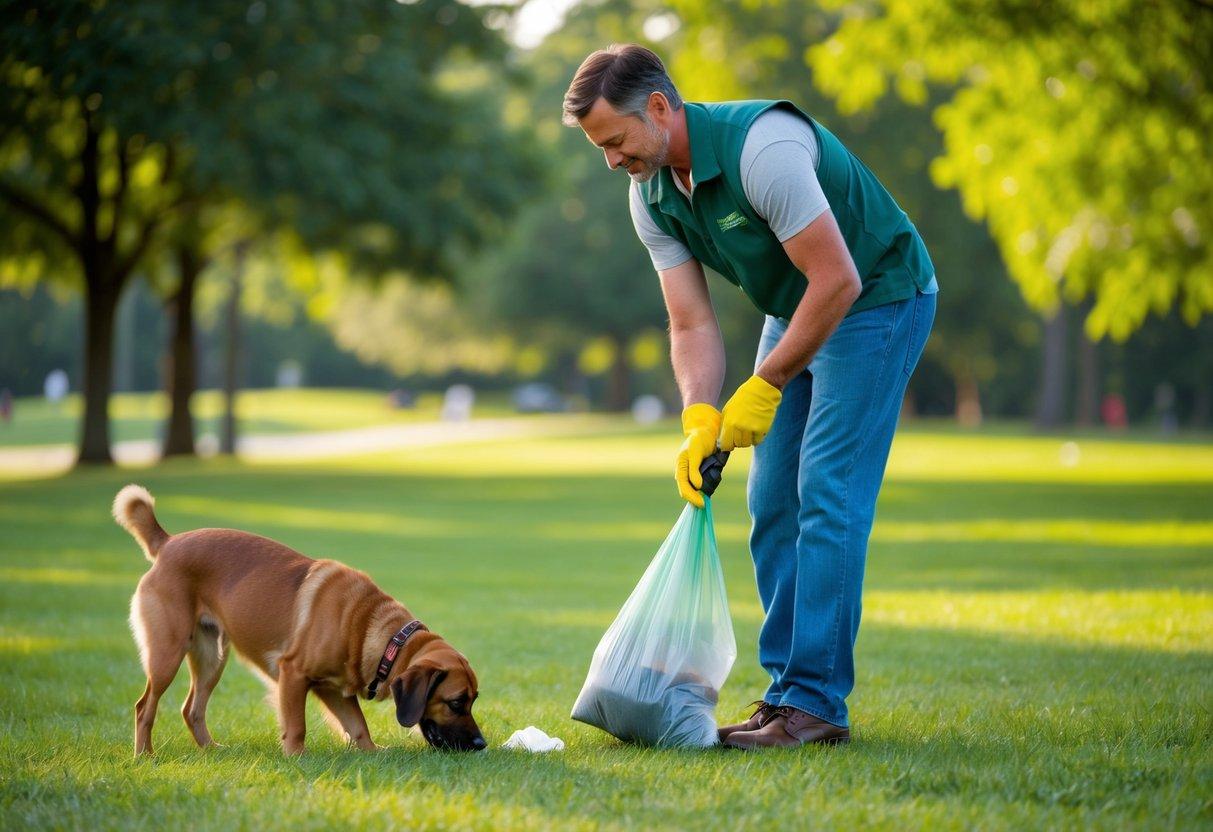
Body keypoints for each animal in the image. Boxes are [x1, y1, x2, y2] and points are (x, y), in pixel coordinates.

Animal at [112, 485, 482, 761]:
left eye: (474, 699)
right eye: (456, 702)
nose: (482, 745)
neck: (369, 627)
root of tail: (167, 543)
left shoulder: (333, 688)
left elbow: (358, 724)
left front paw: (372, 752)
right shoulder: (293, 674)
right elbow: (297, 725)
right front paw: (296, 758)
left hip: (212, 658)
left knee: (192, 710)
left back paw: (212, 749)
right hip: (168, 653)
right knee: (144, 707)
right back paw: (144, 756)